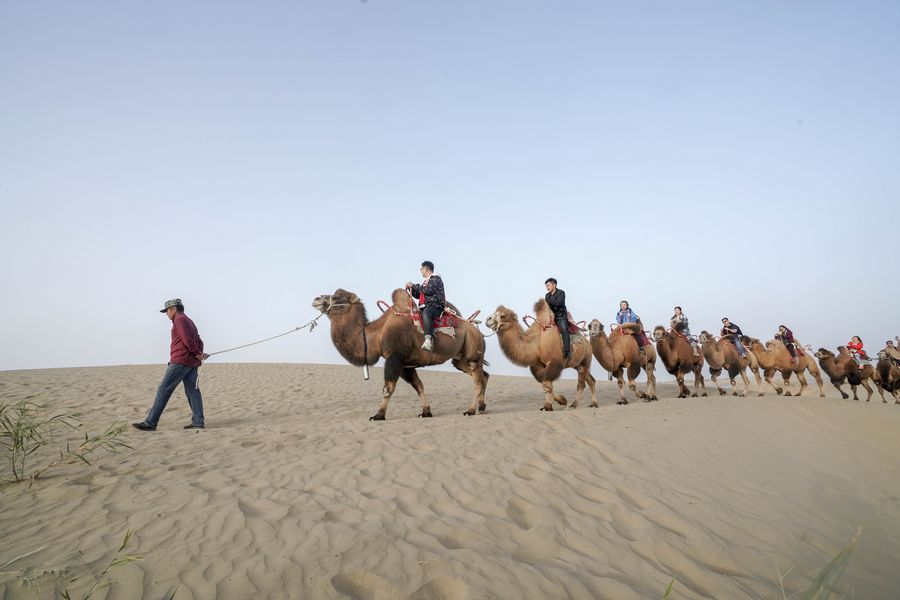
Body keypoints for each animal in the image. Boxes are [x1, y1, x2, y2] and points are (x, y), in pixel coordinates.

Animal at [312, 288, 489, 420]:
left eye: (336, 297)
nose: (316, 299)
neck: (377, 334)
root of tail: (479, 332)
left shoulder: (394, 357)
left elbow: (388, 387)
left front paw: (378, 415)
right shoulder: (405, 364)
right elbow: (418, 385)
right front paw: (426, 412)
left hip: (473, 352)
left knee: (478, 380)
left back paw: (470, 410)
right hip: (460, 358)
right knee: (482, 376)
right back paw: (482, 406)